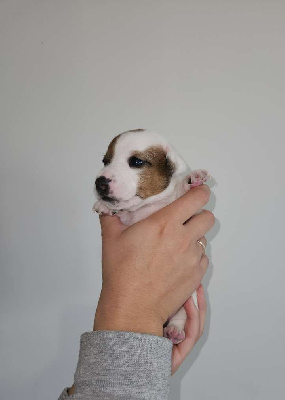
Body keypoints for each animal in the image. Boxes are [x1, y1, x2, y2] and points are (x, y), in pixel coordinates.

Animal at [92, 129, 210, 344]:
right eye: (106, 161)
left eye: (137, 161)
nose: (100, 183)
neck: (147, 205)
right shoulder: (127, 219)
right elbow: (122, 211)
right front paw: (104, 206)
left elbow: (181, 190)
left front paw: (193, 179)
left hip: (189, 298)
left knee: (181, 315)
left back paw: (174, 330)